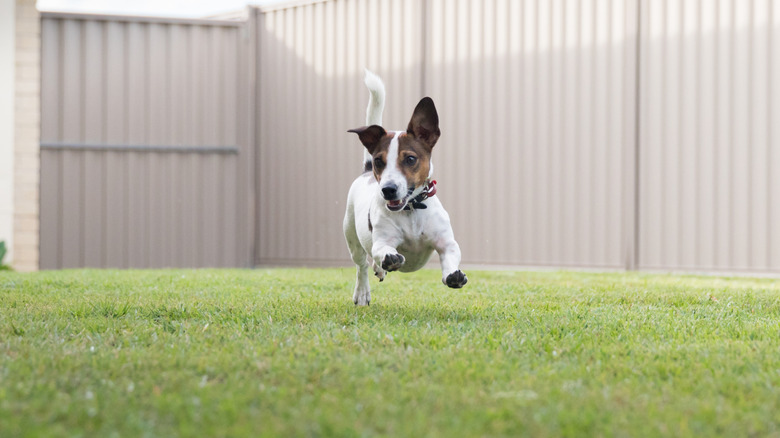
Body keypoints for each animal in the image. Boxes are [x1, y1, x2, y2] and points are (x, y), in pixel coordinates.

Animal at [342, 71, 466, 304]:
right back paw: (362, 291)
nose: (388, 189)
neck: (411, 209)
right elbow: (382, 251)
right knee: (362, 265)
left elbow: (450, 257)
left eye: (410, 159)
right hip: (351, 236)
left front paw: (453, 275)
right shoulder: (382, 241)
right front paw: (389, 259)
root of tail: (366, 171)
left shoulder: (446, 243)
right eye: (379, 161)